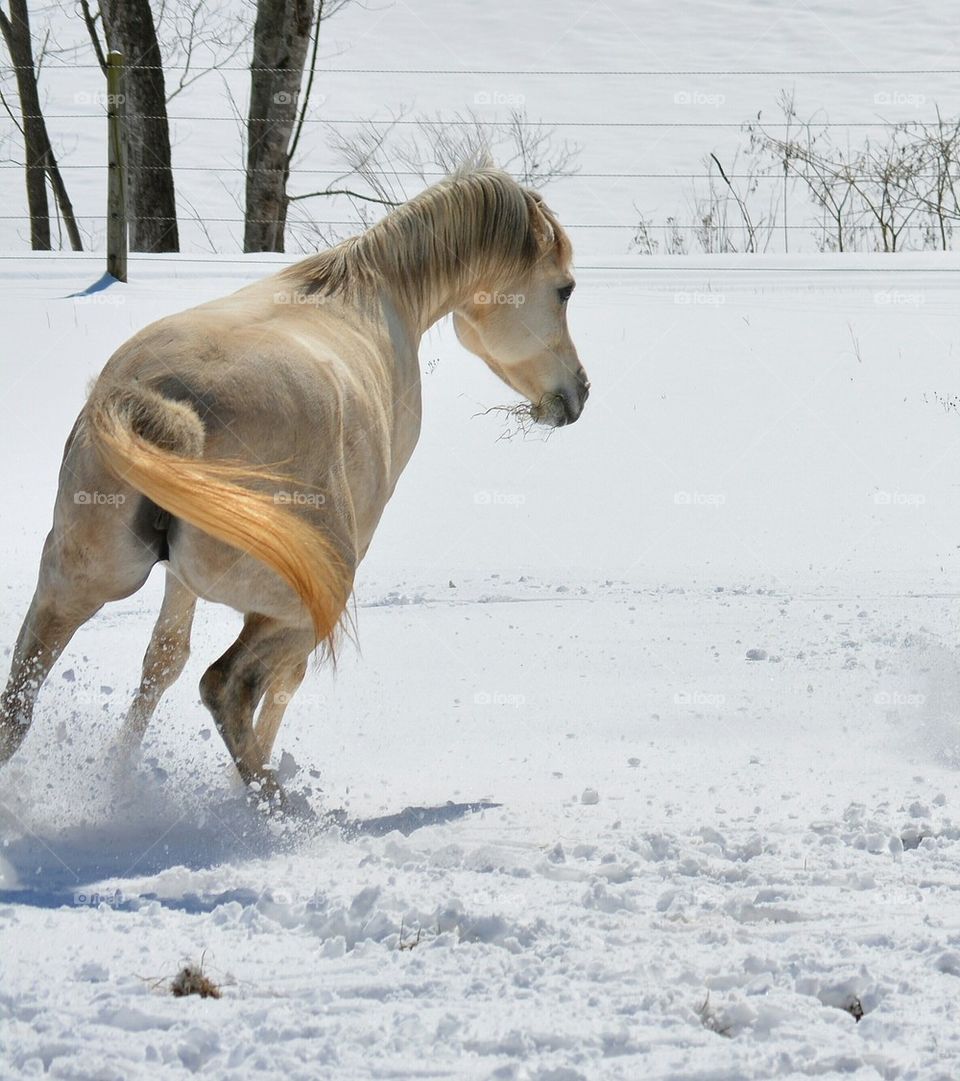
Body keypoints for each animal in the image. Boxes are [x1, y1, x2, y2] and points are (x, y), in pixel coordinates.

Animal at [0, 162, 583, 804]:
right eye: (564, 289)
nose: (577, 393)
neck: (373, 293)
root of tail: (166, 407)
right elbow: (283, 677)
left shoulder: (179, 578)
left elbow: (163, 659)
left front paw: (119, 772)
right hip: (302, 598)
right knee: (227, 685)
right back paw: (274, 803)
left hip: (72, 584)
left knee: (20, 703)